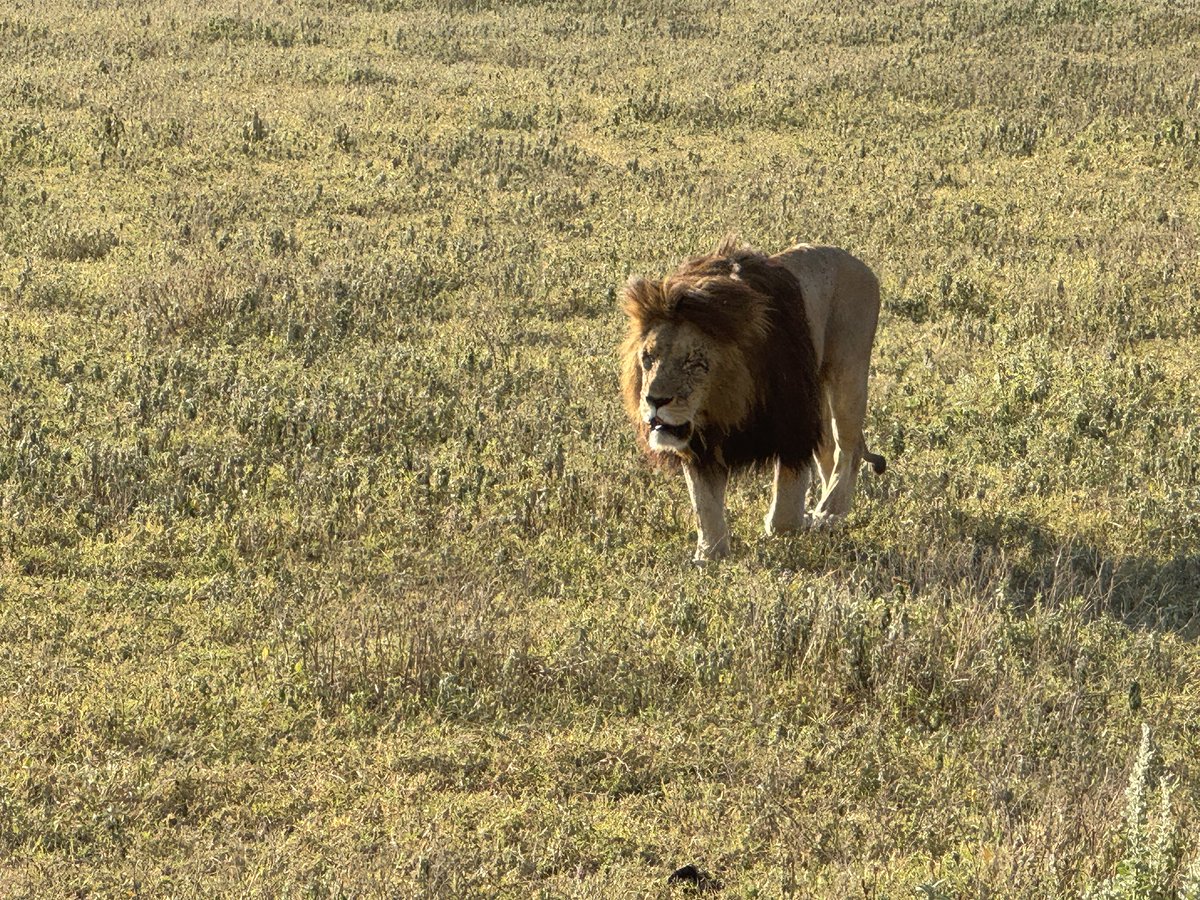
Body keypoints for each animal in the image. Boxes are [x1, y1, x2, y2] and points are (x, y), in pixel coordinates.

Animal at [619, 235, 886, 561]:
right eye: (648, 359)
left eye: (694, 363)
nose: (654, 400)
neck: (723, 405)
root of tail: (858, 263)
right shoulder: (700, 445)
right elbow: (704, 504)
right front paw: (710, 554)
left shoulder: (793, 423)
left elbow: (785, 511)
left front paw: (792, 523)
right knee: (832, 452)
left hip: (847, 374)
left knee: (849, 449)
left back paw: (827, 512)